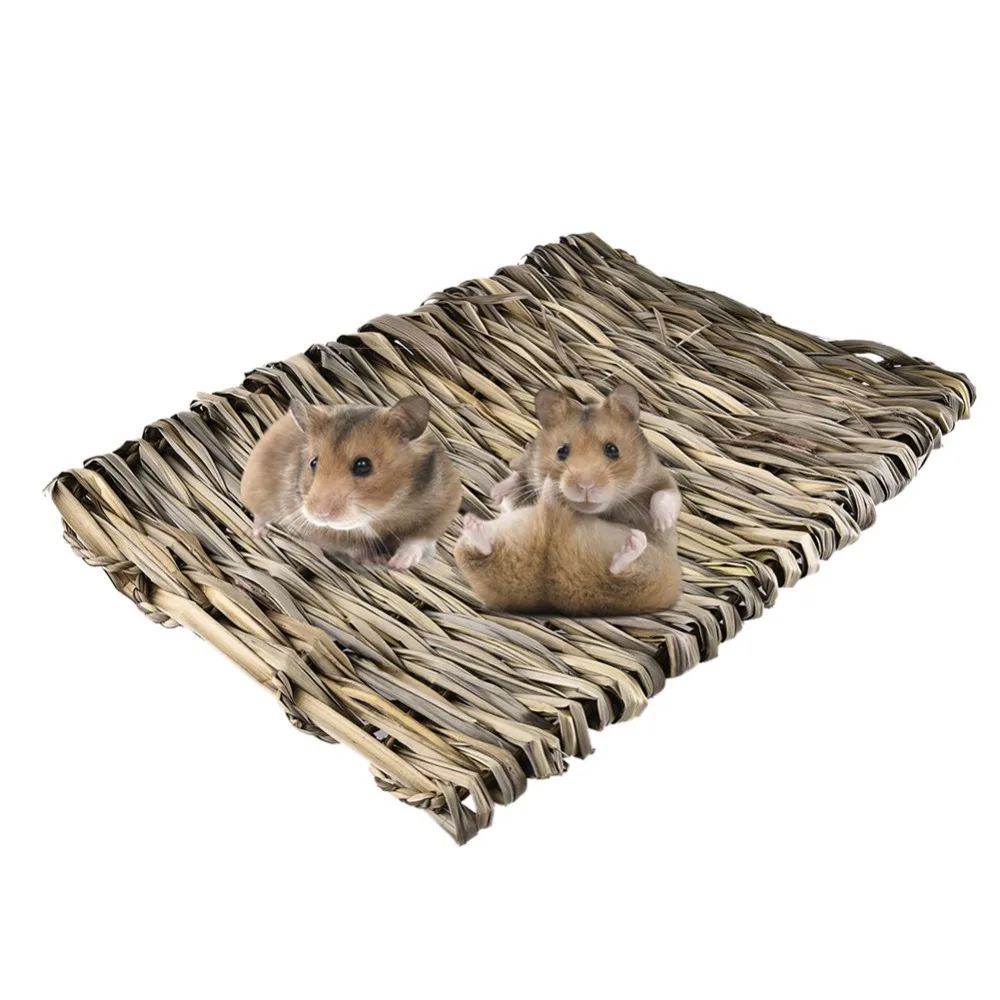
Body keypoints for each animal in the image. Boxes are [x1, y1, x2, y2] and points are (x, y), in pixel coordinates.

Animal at [240, 396, 461, 570]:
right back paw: (256, 533)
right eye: (313, 462)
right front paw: (378, 560)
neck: (382, 512)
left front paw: (399, 563)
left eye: (363, 465)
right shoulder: (322, 533)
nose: (320, 514)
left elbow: (419, 537)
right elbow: (353, 547)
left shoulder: (445, 502)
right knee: (259, 516)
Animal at [492, 384, 682, 535]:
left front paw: (662, 525)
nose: (585, 486)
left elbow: (664, 493)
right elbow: (518, 476)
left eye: (613, 449)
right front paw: (496, 495)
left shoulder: (660, 475)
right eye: (561, 451)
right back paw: (496, 494)